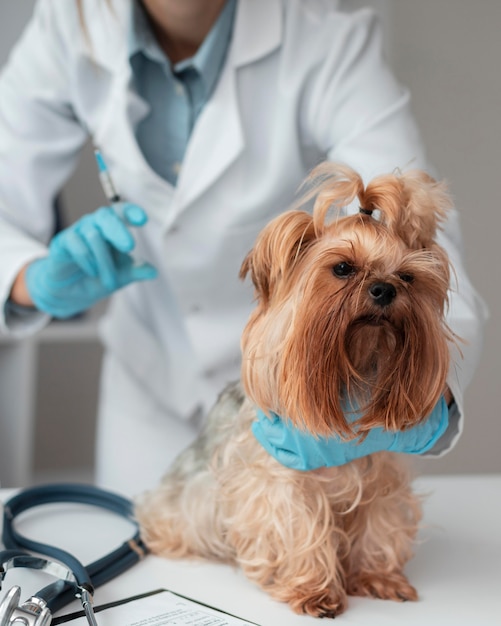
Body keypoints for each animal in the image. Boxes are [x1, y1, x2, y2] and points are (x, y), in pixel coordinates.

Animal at [135, 163, 456, 616]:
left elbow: (379, 523)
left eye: (408, 277)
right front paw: (314, 591)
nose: (385, 289)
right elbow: (296, 527)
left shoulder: (381, 473)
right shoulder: (278, 479)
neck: (353, 369)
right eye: (343, 268)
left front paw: (377, 577)